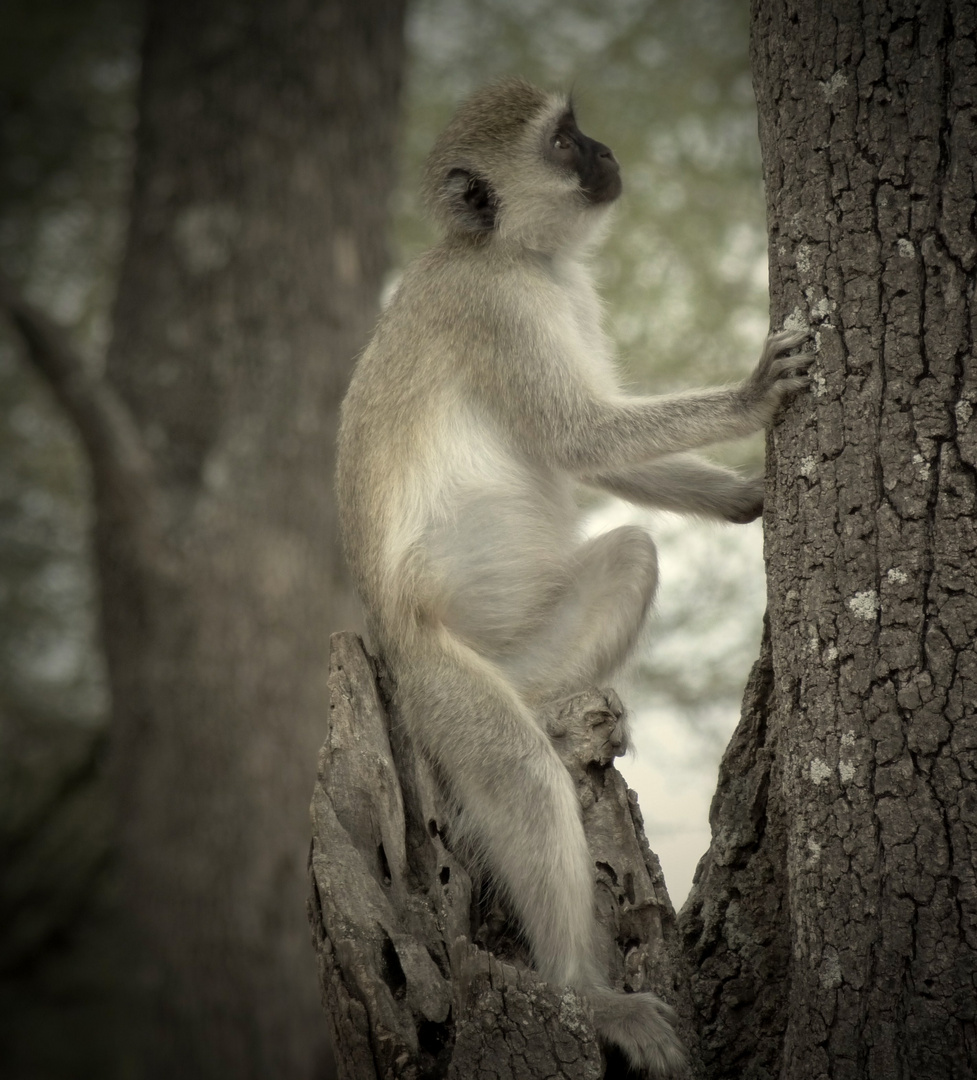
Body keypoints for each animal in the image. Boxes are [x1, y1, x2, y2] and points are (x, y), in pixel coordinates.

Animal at [338, 79, 811, 1075]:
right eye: (561, 141)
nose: (604, 152)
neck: (512, 254)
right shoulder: (499, 312)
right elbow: (579, 437)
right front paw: (753, 398)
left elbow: (599, 462)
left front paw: (743, 496)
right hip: (437, 680)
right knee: (514, 771)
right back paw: (586, 996)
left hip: (515, 650)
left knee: (630, 556)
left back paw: (561, 713)